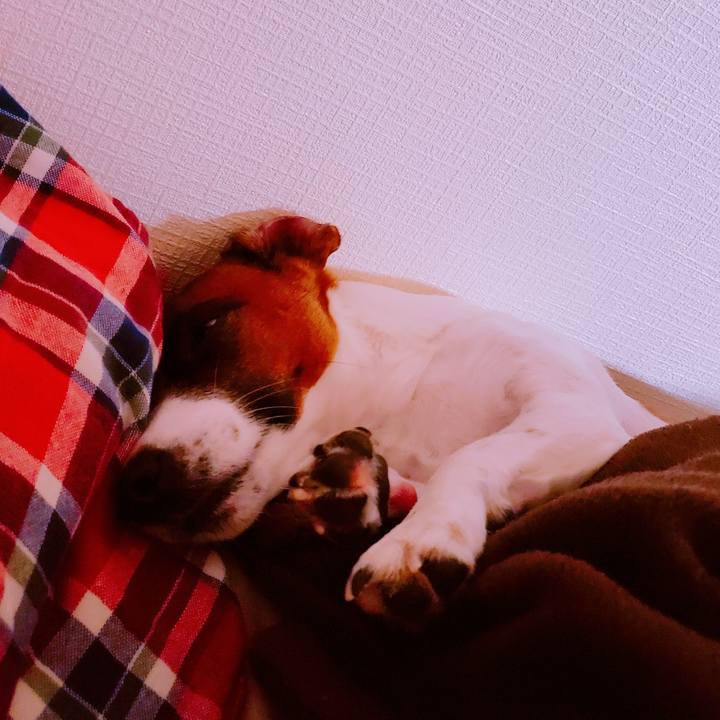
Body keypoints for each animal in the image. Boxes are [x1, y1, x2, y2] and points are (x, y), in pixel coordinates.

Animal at [118, 213, 664, 623]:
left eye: (207, 325)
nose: (136, 484)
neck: (400, 405)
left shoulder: (575, 411)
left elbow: (471, 457)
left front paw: (418, 538)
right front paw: (363, 492)